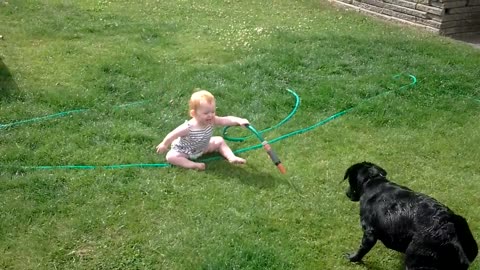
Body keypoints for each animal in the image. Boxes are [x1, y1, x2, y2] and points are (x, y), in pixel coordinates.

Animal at [344, 161, 478, 268]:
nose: (346, 193)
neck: (373, 181)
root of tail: (452, 233)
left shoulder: (369, 234)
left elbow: (361, 250)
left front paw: (352, 258)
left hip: (415, 257)